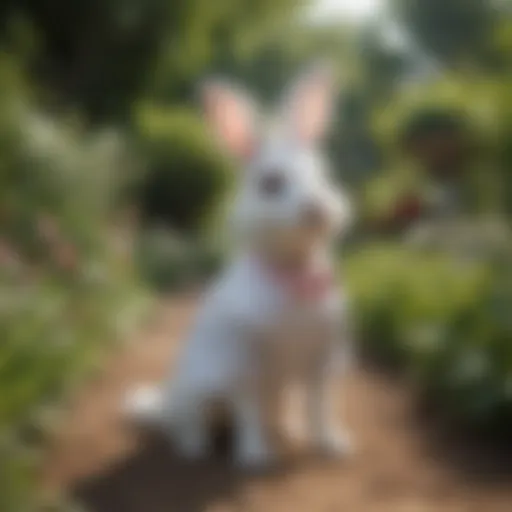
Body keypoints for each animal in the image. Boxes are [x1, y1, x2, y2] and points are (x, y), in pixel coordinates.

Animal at [125, 63, 354, 468]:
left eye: (324, 173)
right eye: (270, 184)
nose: (316, 210)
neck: (293, 271)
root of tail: (165, 406)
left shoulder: (321, 363)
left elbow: (319, 409)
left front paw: (333, 446)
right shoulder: (244, 366)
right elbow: (250, 413)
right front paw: (256, 458)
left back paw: (288, 431)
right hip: (198, 396)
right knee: (188, 425)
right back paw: (196, 449)